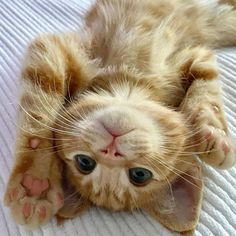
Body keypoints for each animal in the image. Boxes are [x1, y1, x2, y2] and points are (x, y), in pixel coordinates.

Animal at [3, 0, 236, 233]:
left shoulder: (195, 56)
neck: (127, 81)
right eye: (84, 162)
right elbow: (38, 109)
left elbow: (207, 88)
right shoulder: (50, 49)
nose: (110, 152)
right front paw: (35, 182)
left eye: (140, 175)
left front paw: (214, 134)